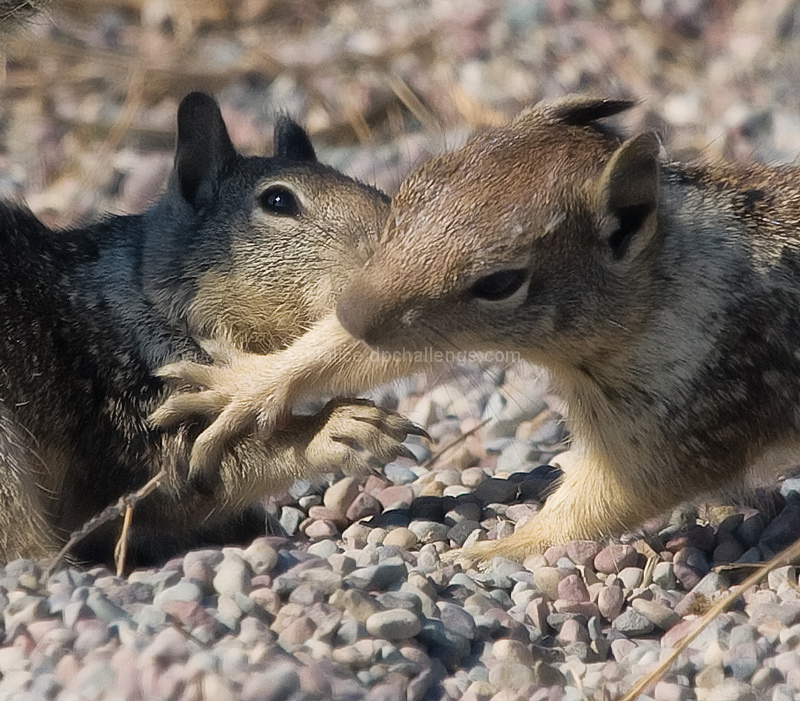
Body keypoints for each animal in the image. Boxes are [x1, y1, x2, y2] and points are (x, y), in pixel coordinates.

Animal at [156, 95, 800, 568]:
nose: (351, 311)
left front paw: (491, 549)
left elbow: (610, 498)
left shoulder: (690, 408)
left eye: (501, 283)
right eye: (409, 189)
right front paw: (251, 385)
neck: (668, 274)